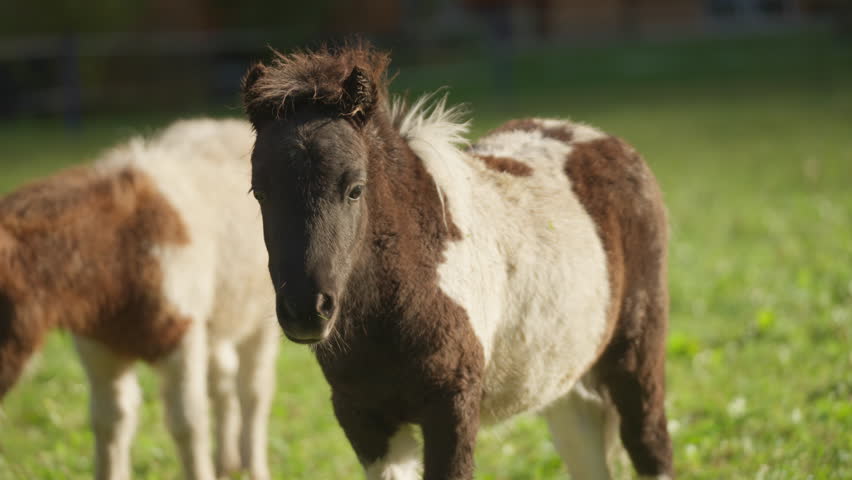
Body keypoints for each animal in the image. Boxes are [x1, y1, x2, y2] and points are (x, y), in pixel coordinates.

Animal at [0, 119, 278, 480]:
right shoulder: (100, 345)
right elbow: (109, 423)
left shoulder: (182, 336)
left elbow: (187, 423)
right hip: (220, 315)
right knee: (224, 379)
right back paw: (226, 464)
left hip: (261, 313)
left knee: (254, 391)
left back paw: (253, 467)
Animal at [242, 44, 673, 480]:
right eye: (259, 192)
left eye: (355, 189)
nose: (306, 311)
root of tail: (606, 142)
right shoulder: (363, 416)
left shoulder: (452, 405)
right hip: (567, 379)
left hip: (636, 357)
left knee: (651, 444)